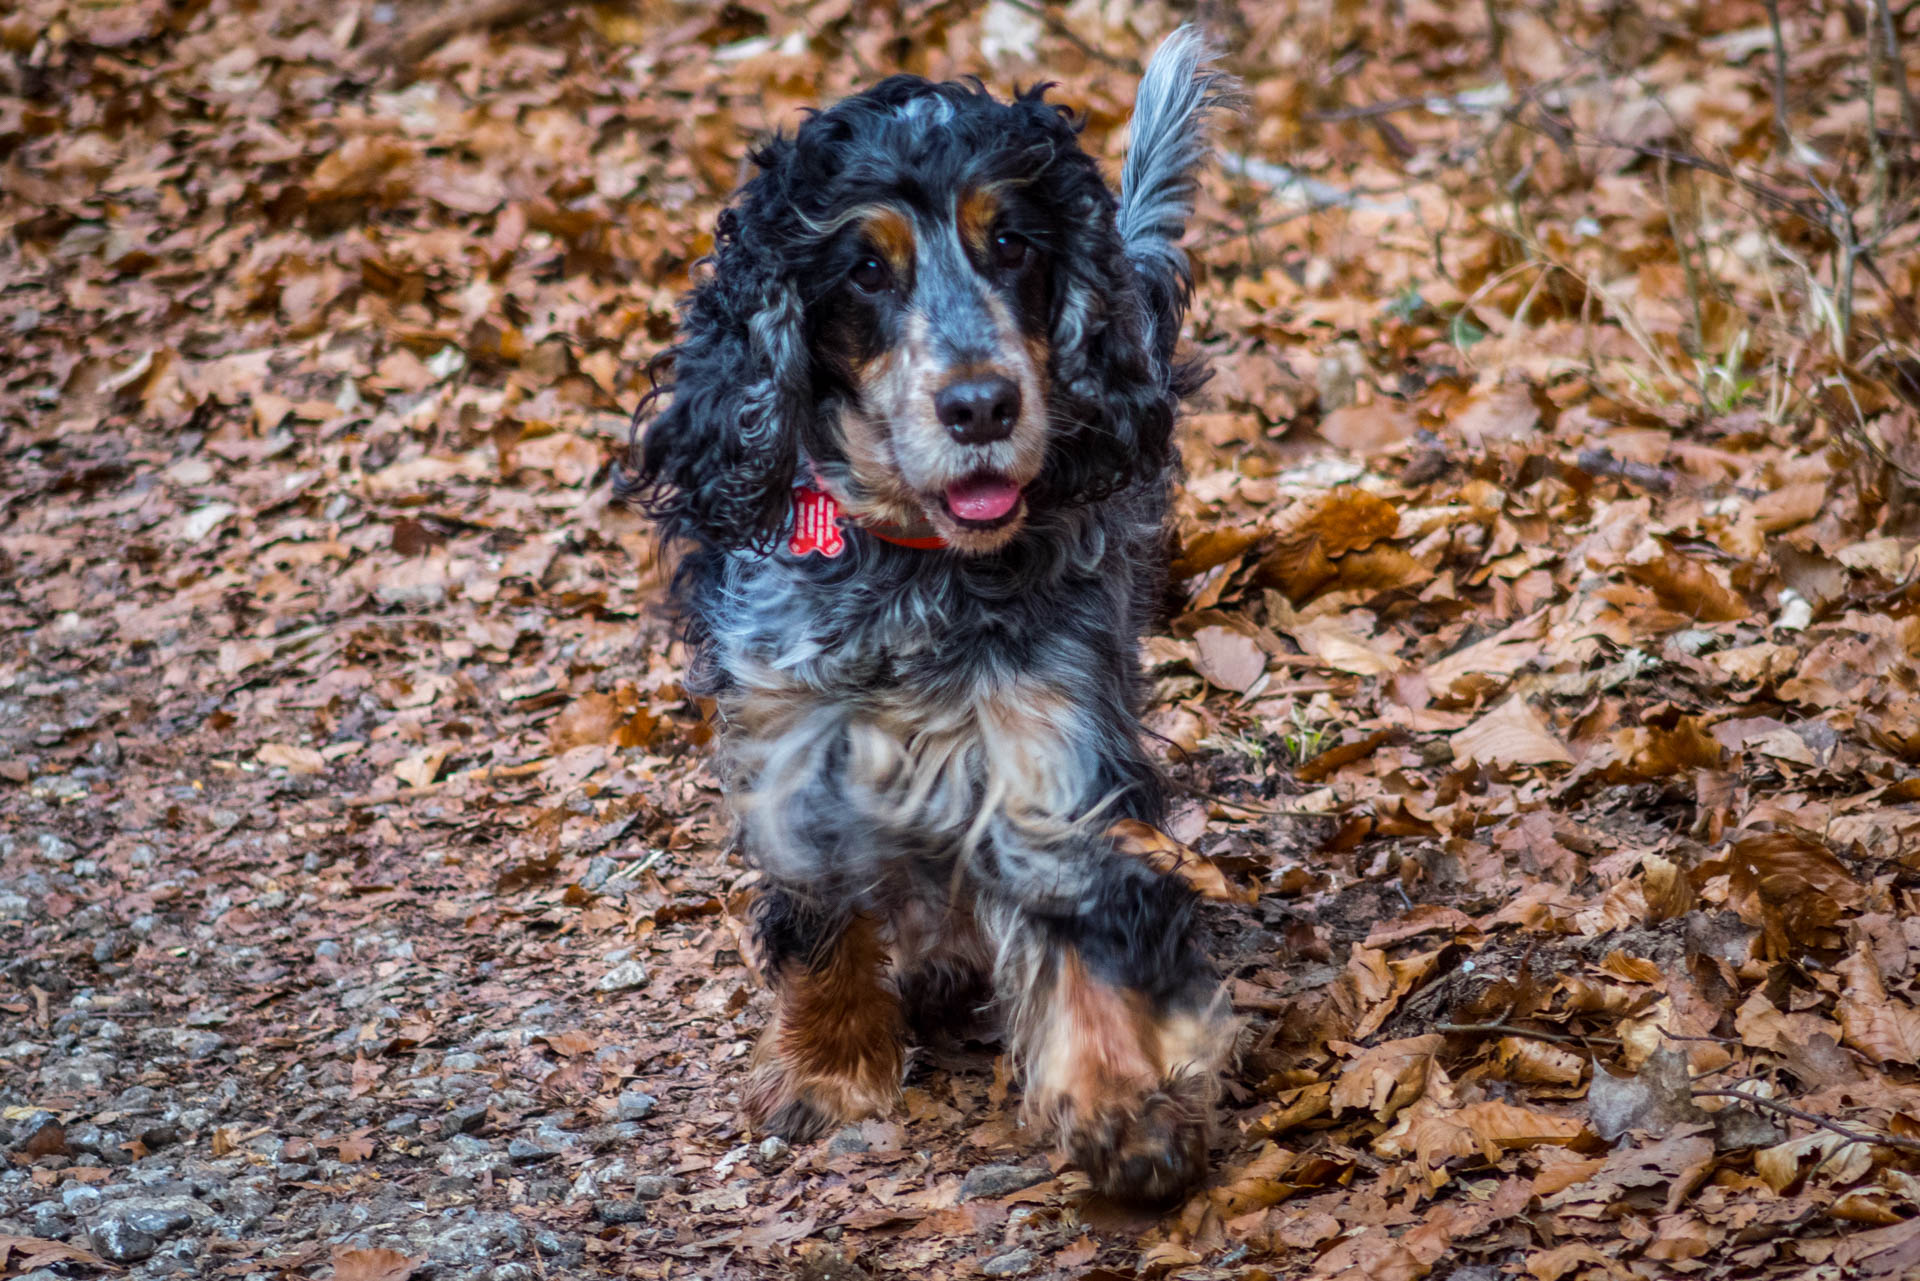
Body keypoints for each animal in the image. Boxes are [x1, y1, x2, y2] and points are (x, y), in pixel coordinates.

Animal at [622, 30, 1236, 1206]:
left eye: (1014, 244)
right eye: (865, 269)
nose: (982, 405)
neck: (914, 569)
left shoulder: (1050, 727)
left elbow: (1077, 907)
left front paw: (1123, 1102)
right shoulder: (798, 740)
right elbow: (823, 914)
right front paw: (826, 1068)